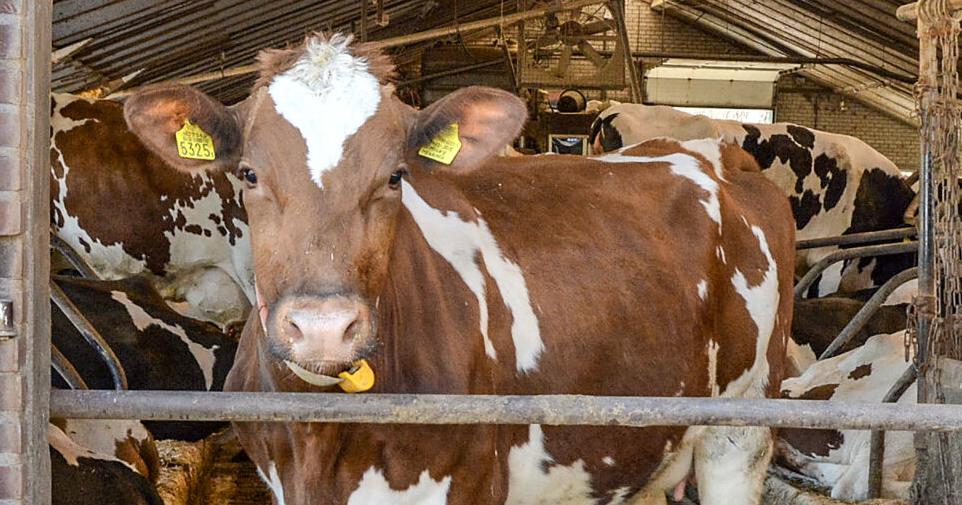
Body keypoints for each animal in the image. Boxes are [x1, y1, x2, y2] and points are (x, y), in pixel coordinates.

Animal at [123, 33, 795, 505]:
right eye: (249, 174)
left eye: (396, 175)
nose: (323, 329)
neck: (320, 438)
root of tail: (718, 151)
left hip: (740, 429)